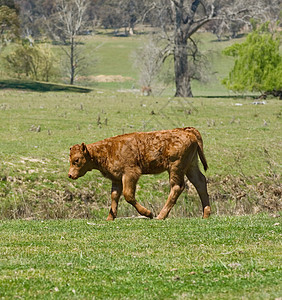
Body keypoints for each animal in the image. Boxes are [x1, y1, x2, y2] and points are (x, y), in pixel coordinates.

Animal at [67, 126, 209, 220]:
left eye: (76, 160)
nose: (70, 175)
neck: (107, 150)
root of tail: (185, 130)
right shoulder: (116, 179)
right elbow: (114, 196)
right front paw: (110, 218)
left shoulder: (131, 174)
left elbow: (128, 195)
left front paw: (148, 213)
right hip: (191, 166)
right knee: (200, 182)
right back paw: (206, 214)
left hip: (176, 168)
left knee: (177, 187)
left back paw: (160, 216)